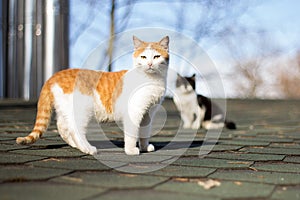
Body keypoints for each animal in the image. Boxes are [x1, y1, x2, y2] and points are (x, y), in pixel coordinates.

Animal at [17, 36, 169, 155]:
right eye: (143, 57)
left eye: (156, 56)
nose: (149, 64)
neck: (151, 80)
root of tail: (54, 76)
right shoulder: (134, 112)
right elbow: (132, 134)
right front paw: (131, 150)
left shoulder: (148, 113)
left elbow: (144, 133)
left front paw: (144, 147)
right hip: (81, 111)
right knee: (75, 129)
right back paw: (87, 148)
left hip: (65, 110)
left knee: (63, 127)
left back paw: (76, 146)